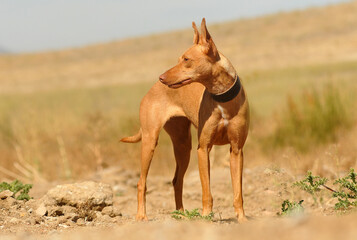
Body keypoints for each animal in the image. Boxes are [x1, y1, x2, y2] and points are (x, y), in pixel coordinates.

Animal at [121, 17, 249, 222]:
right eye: (179, 59)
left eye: (186, 59)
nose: (161, 77)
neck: (221, 98)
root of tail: (151, 89)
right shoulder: (203, 148)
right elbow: (206, 191)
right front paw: (206, 216)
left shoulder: (236, 150)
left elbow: (238, 191)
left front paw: (242, 218)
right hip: (150, 141)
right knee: (142, 182)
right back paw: (141, 215)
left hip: (183, 146)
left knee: (176, 180)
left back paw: (180, 213)